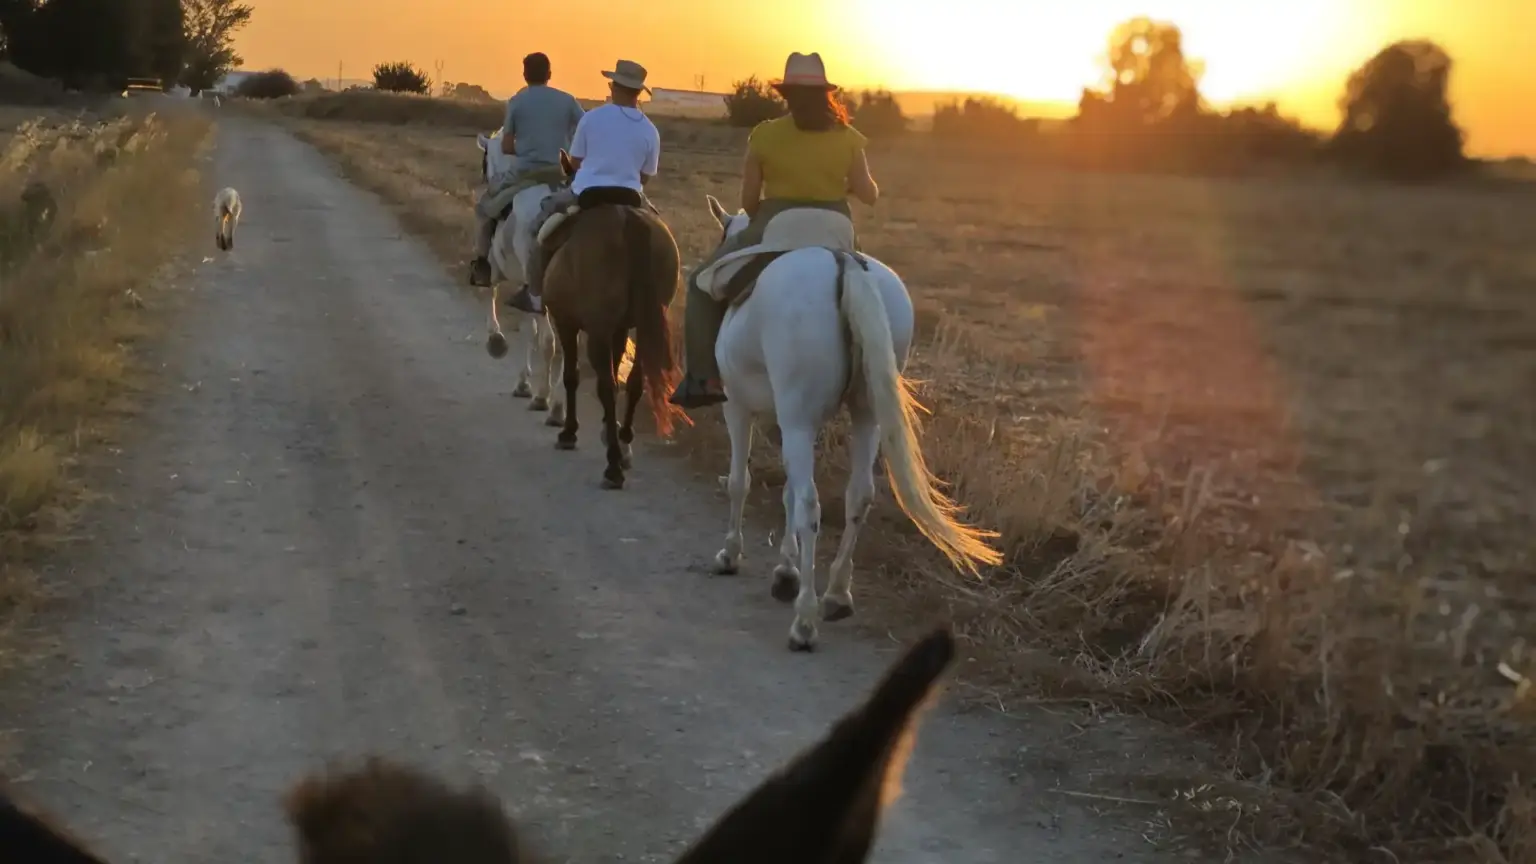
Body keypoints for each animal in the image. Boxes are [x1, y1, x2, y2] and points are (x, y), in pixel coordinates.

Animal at [474, 129, 569, 424]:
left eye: (484, 161)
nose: (486, 180)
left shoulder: (498, 271)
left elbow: (490, 294)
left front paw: (497, 343)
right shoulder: (528, 289)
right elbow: (532, 331)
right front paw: (525, 383)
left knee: (551, 342)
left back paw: (546, 400)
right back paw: (557, 403)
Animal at [699, 196, 1003, 651]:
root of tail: (844, 265)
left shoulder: (741, 407)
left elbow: (742, 483)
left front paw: (731, 555)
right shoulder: (794, 423)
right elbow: (787, 492)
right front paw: (786, 570)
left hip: (797, 418)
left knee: (811, 504)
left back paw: (805, 621)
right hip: (865, 416)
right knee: (858, 496)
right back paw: (837, 595)